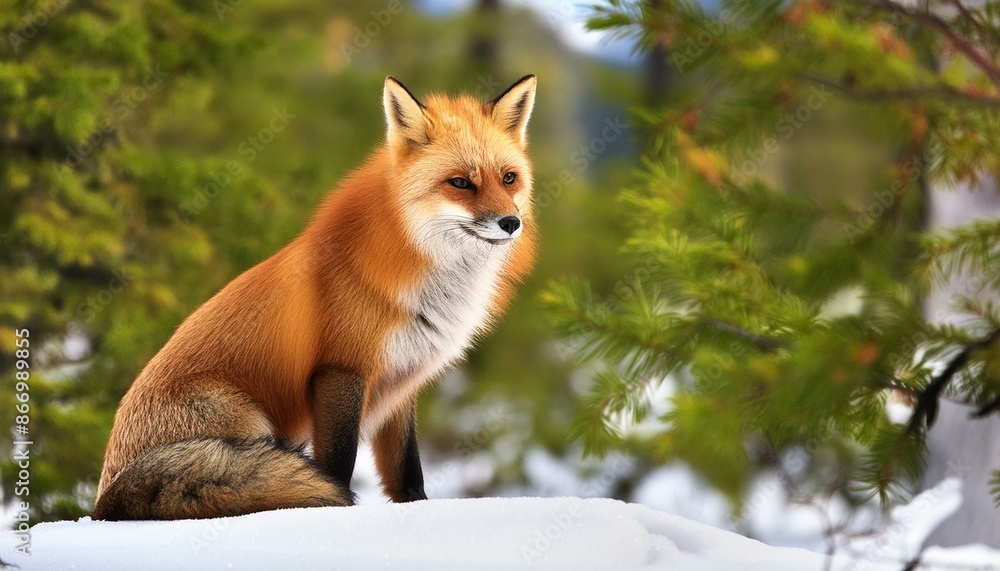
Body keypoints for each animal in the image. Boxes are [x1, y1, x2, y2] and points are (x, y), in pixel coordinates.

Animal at [92, 75, 538, 520]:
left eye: (508, 178)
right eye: (461, 183)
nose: (510, 223)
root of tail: (105, 499)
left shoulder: (401, 377)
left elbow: (407, 470)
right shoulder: (341, 370)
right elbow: (338, 464)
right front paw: (335, 511)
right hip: (246, 419)